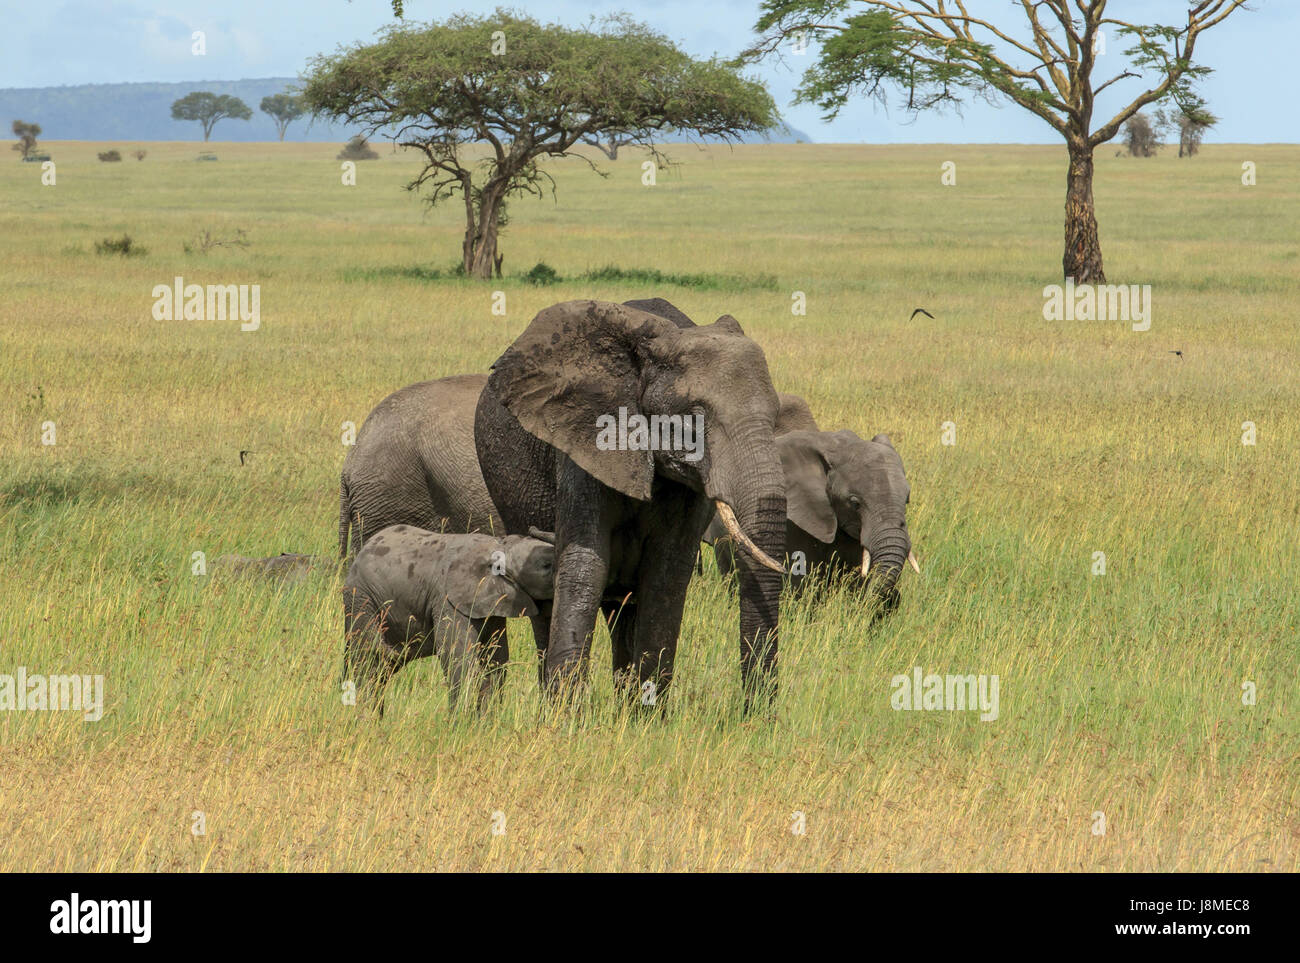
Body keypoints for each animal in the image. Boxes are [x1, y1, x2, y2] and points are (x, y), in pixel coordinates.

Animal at [340, 522, 553, 712]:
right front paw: (459, 725)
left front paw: (484, 724)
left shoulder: (492, 603)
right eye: (546, 565)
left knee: (383, 668)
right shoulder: (447, 600)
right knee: (368, 662)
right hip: (361, 600)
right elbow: (459, 658)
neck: (499, 545)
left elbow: (495, 659)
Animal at [475, 295, 785, 706]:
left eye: (776, 414)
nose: (753, 713)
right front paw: (566, 714)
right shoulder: (585, 442)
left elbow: (666, 576)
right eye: (695, 419)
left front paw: (646, 713)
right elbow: (584, 566)